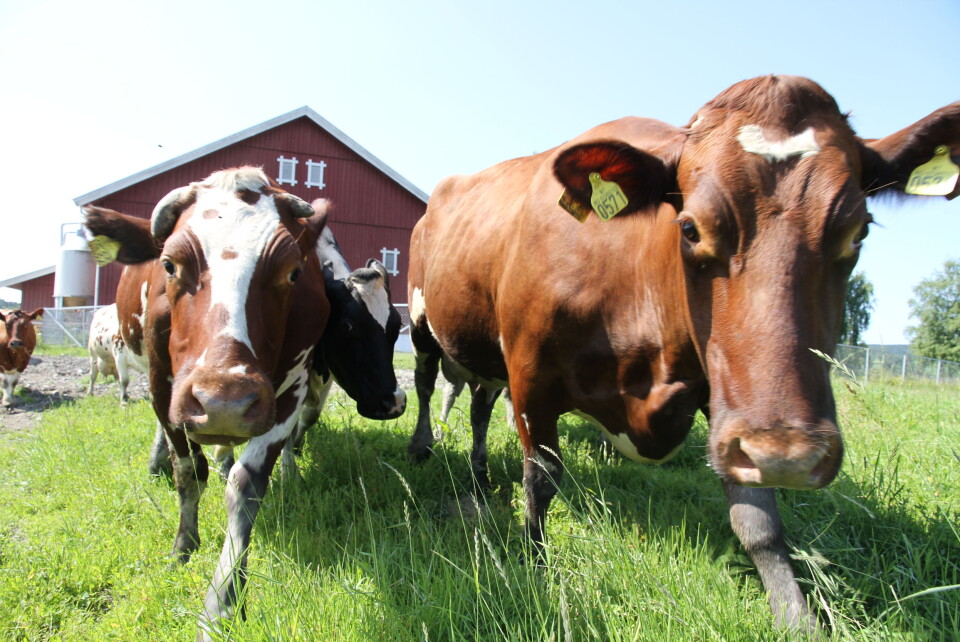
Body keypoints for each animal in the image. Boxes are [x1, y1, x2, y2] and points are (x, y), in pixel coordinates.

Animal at [83, 168, 330, 636]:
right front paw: (184, 546)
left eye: (292, 273)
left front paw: (224, 599)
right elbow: (188, 472)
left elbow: (246, 486)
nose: (223, 402)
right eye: (169, 264)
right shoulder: (163, 386)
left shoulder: (289, 388)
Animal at [406, 76, 960, 632]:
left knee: (478, 407)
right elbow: (539, 485)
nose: (789, 456)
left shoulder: (729, 400)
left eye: (858, 232)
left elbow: (757, 516)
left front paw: (794, 613)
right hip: (422, 322)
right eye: (691, 229)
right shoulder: (529, 380)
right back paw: (422, 446)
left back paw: (479, 476)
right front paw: (537, 572)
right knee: (429, 383)